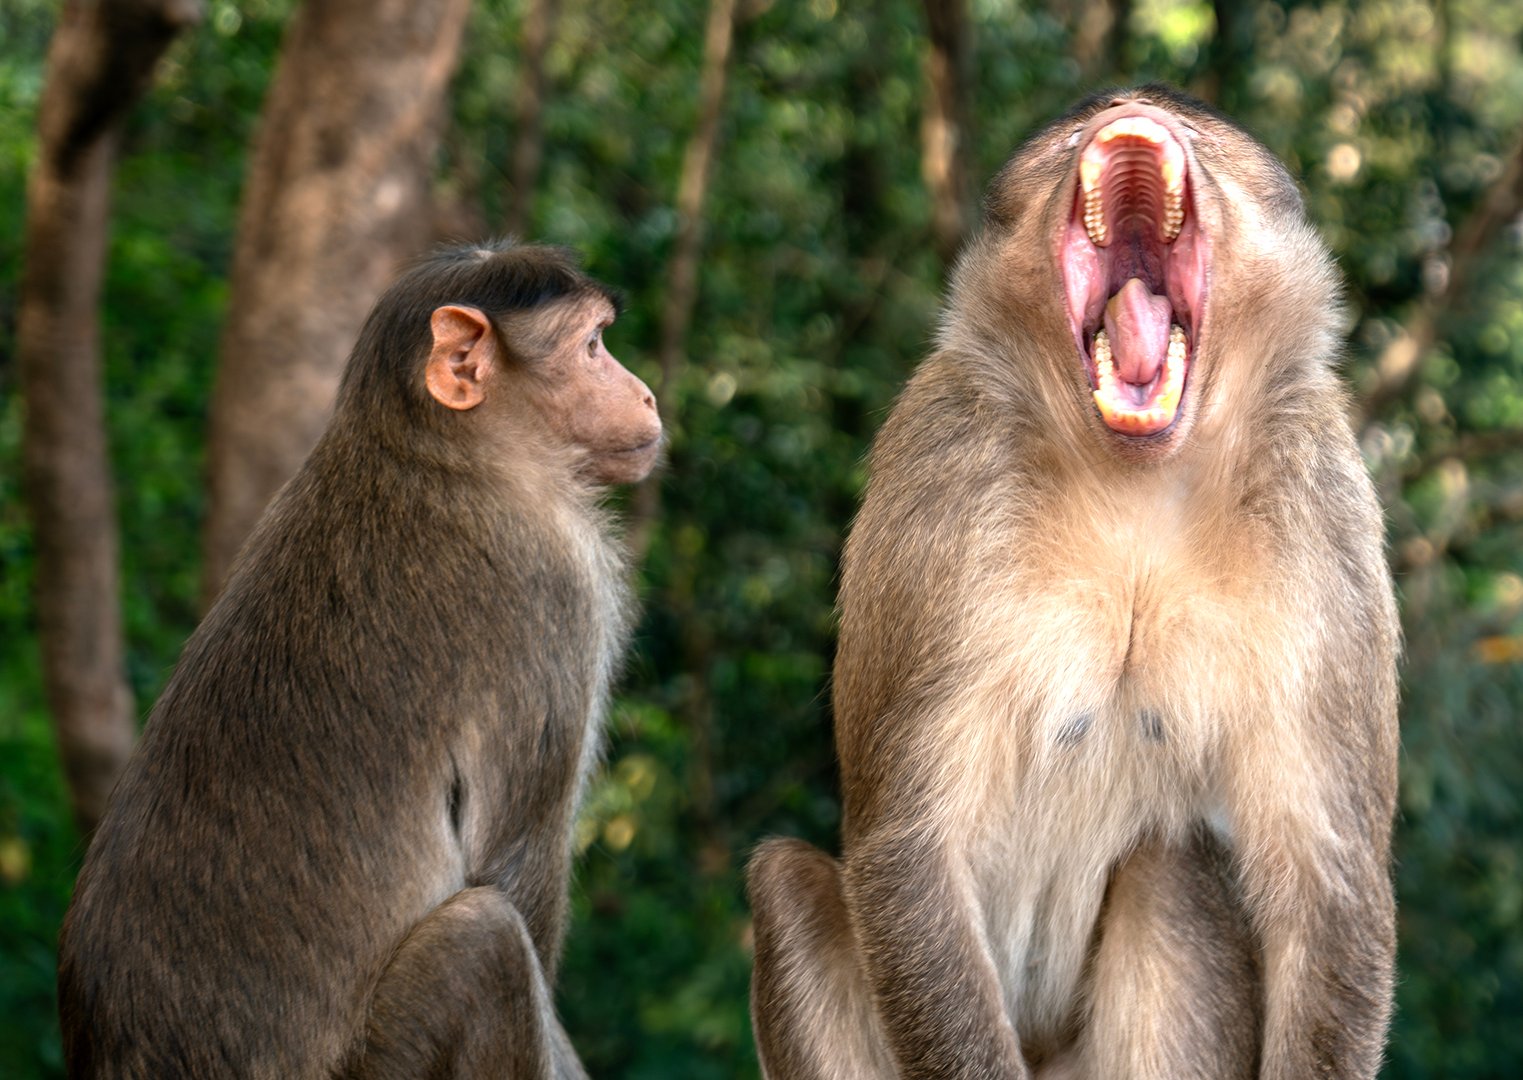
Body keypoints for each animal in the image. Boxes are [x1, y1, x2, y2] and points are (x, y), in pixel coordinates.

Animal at [57, 241, 662, 1079]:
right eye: (594, 347)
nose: (646, 395)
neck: (434, 451)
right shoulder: (557, 590)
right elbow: (513, 877)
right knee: (483, 939)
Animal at [748, 86, 1400, 1080]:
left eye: (1191, 128)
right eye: (1068, 140)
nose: (1130, 108)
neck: (1131, 475)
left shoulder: (1321, 500)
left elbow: (1326, 881)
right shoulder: (940, 464)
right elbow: (909, 851)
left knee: (1172, 871)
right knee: (784, 881)